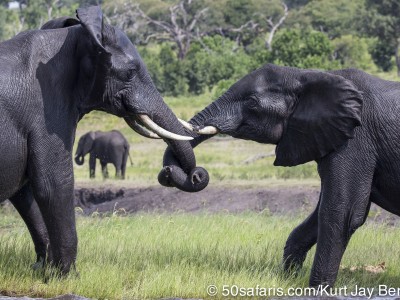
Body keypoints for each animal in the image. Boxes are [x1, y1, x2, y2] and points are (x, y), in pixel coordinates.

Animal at [0, 5, 208, 276]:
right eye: (130, 72)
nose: (195, 175)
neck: (69, 39)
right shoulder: (45, 111)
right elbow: (53, 183)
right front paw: (67, 276)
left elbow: (25, 192)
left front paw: (43, 270)